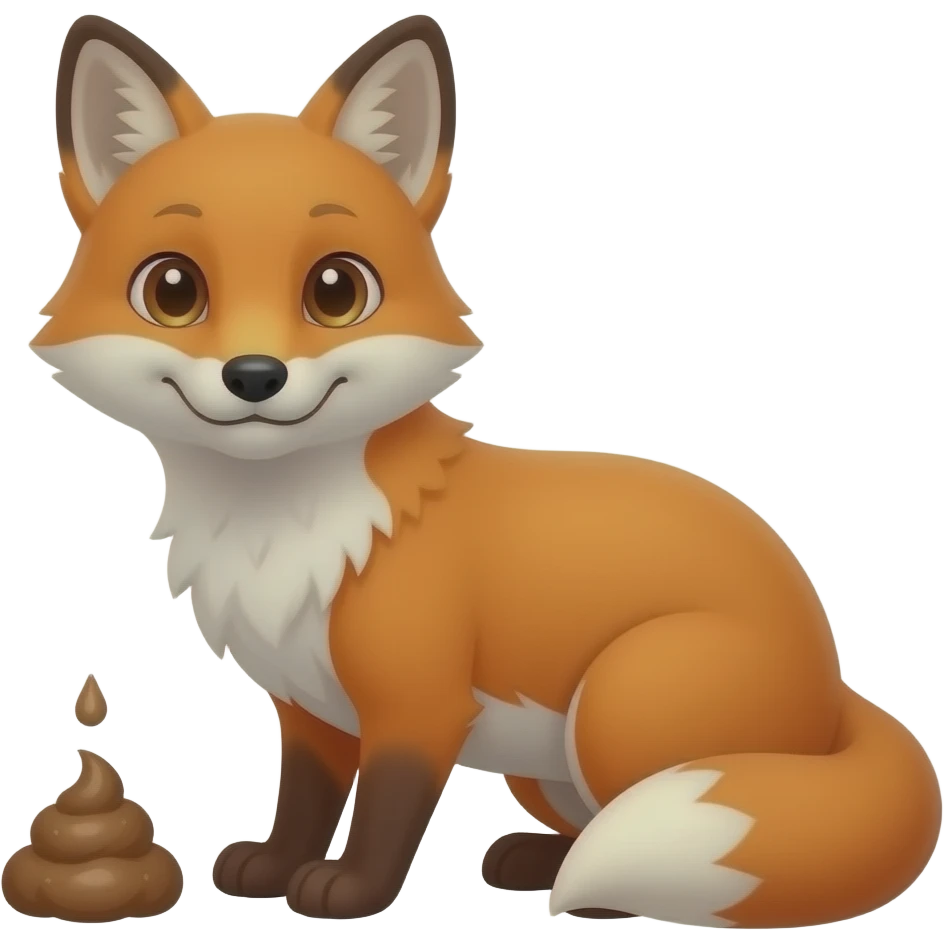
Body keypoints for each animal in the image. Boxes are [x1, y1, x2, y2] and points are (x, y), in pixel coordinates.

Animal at [28, 12, 941, 927]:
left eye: (336, 291)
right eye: (174, 291)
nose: (255, 376)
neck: (282, 526)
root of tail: (834, 690)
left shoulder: (419, 704)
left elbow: (386, 809)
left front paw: (350, 890)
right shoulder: (310, 708)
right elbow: (306, 801)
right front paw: (277, 866)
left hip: (618, 704)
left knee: (636, 834)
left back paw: (597, 895)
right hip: (543, 769)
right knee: (587, 832)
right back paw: (537, 861)